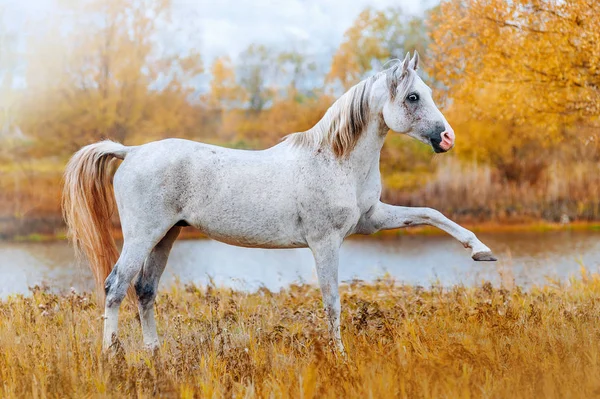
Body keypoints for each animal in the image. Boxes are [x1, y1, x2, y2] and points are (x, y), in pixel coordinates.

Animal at [62, 51, 496, 354]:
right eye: (412, 96)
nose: (447, 138)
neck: (335, 159)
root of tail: (131, 151)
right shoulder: (325, 242)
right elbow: (332, 302)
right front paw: (340, 356)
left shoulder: (371, 219)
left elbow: (431, 213)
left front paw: (481, 251)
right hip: (142, 236)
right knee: (116, 286)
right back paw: (113, 356)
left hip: (166, 236)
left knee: (145, 290)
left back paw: (155, 354)